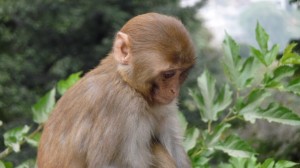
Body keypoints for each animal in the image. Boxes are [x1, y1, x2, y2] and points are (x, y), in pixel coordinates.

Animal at [37, 12, 196, 167]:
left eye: (183, 73)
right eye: (168, 74)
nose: (174, 91)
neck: (126, 82)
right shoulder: (119, 105)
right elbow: (109, 164)